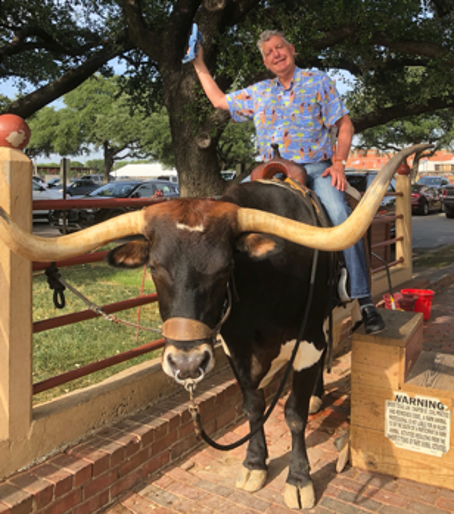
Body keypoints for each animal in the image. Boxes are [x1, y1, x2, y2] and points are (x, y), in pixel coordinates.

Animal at [0, 145, 427, 510]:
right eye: (155, 268)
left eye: (225, 268)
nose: (186, 365)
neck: (262, 284)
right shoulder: (236, 344)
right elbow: (253, 405)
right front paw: (255, 464)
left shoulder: (306, 339)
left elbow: (293, 413)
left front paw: (299, 479)